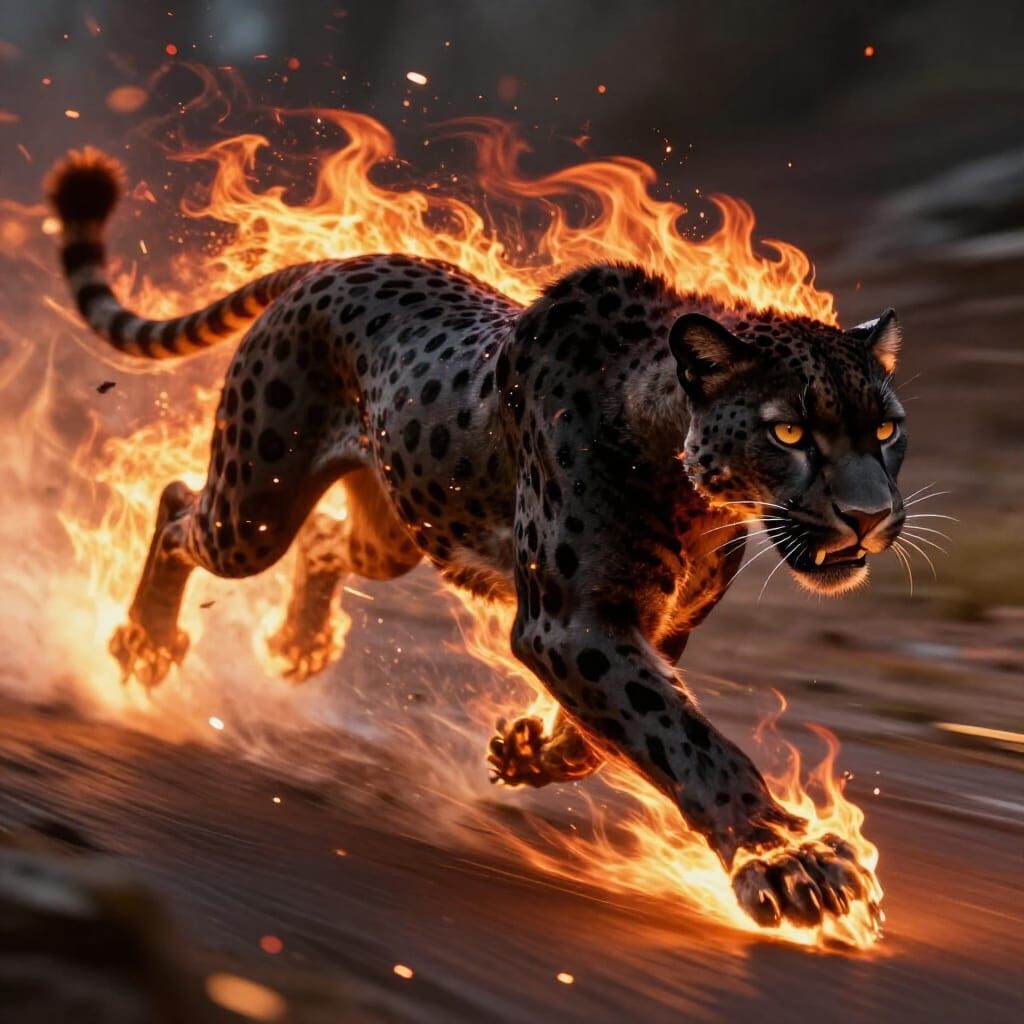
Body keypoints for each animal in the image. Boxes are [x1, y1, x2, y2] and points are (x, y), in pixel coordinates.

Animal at [48, 147, 907, 933]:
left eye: (886, 429)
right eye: (789, 432)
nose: (871, 517)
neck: (688, 479)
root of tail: (337, 261)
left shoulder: (651, 625)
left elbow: (618, 728)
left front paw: (532, 752)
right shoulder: (568, 623)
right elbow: (680, 733)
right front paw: (790, 860)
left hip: (394, 530)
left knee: (324, 540)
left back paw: (300, 640)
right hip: (254, 511)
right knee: (177, 505)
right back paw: (145, 641)